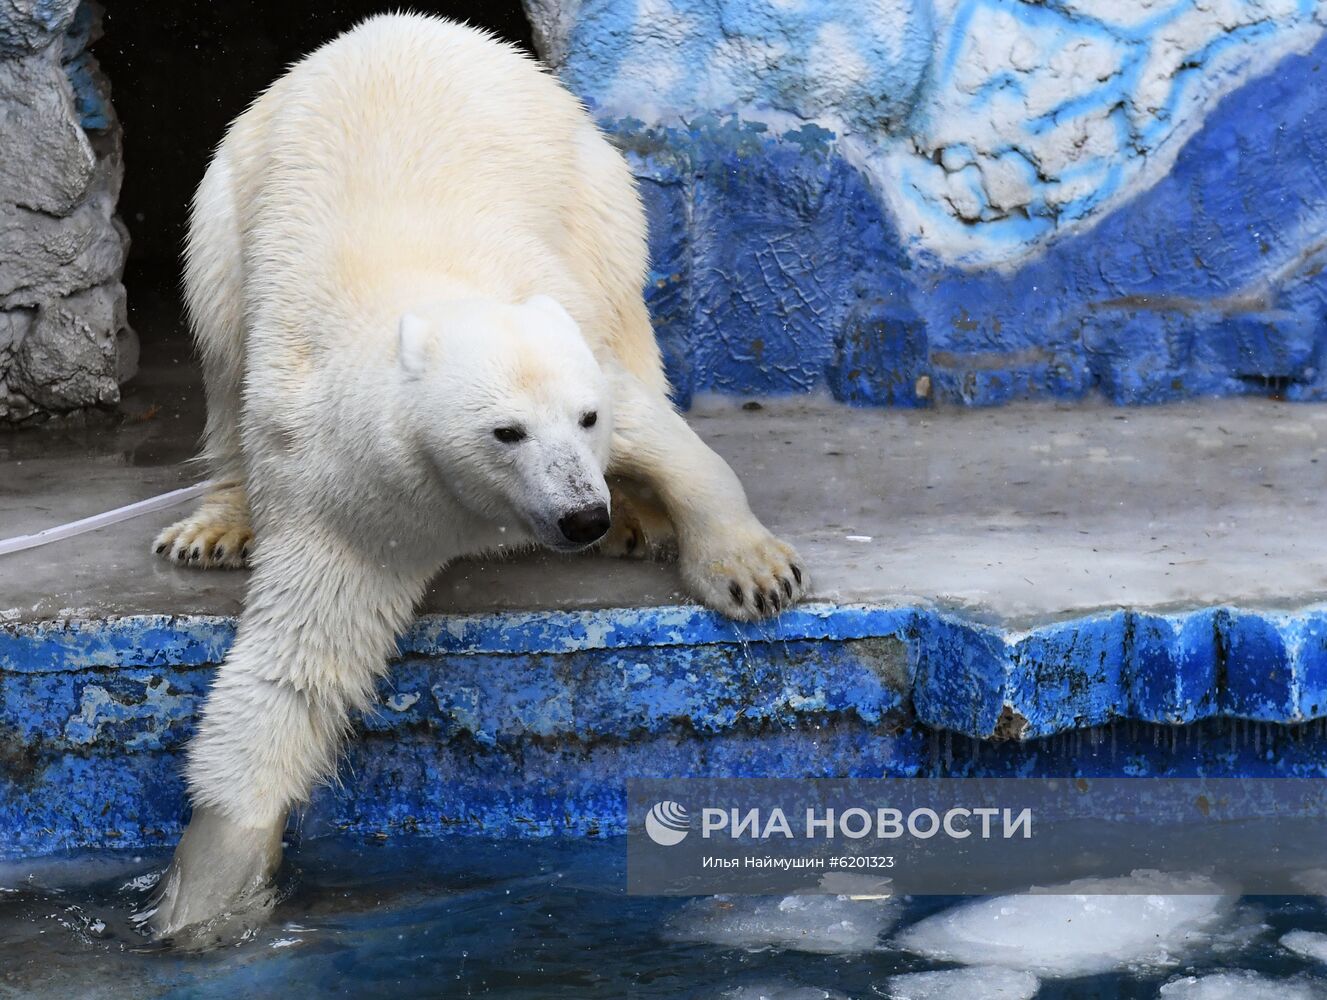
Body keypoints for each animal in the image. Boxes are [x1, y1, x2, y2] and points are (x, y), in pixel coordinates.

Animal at [146, 11, 806, 938]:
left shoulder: (582, 360)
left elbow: (670, 439)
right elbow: (297, 667)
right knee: (217, 334)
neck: (424, 298)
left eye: (584, 420)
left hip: (595, 192)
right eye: (505, 433)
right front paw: (206, 894)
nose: (583, 516)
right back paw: (212, 526)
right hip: (227, 195)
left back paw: (642, 518)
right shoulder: (345, 489)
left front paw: (752, 572)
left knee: (627, 307)